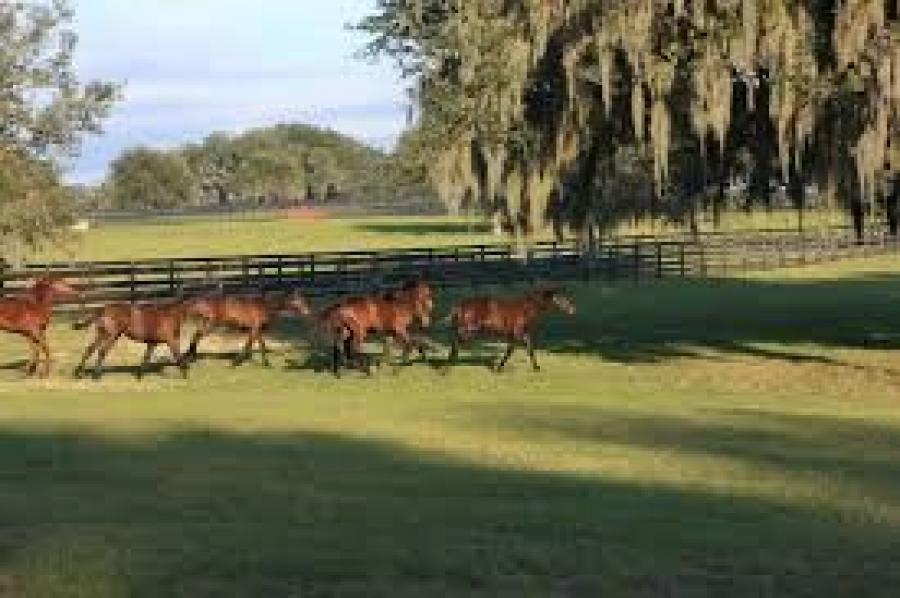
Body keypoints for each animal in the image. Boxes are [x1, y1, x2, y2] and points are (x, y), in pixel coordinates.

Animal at [444, 288, 576, 376]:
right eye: (559, 298)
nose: (572, 309)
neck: (526, 309)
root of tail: (459, 306)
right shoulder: (516, 334)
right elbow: (510, 351)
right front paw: (499, 368)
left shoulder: (521, 335)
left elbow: (530, 349)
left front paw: (537, 368)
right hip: (468, 330)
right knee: (455, 345)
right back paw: (447, 369)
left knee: (455, 344)